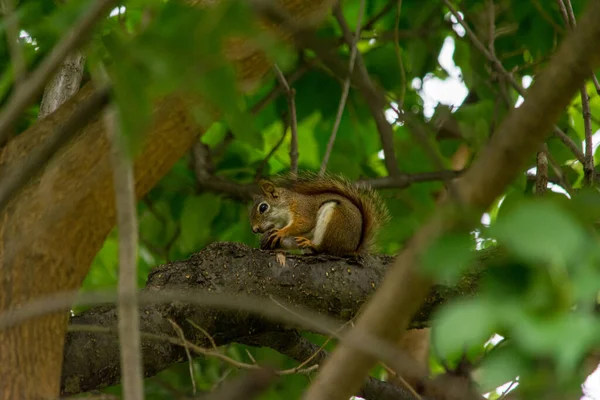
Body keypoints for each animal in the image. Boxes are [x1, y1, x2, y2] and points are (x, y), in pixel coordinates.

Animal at [248, 172, 390, 256]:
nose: (254, 229)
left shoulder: (303, 209)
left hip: (334, 221)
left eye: (263, 207)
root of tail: (353, 248)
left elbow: (304, 224)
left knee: (326, 249)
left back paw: (313, 245)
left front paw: (280, 232)